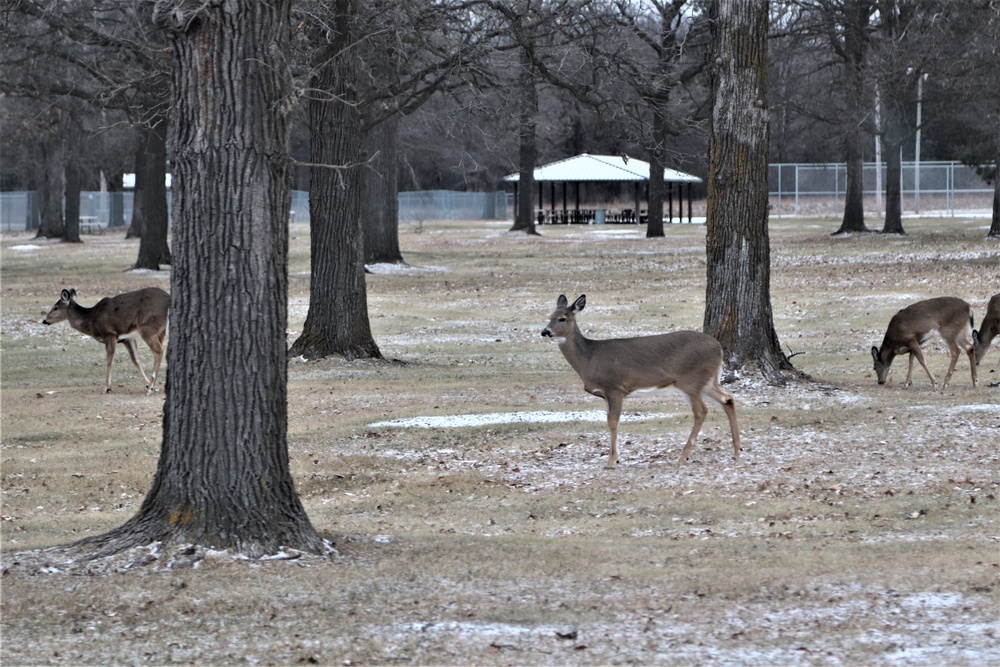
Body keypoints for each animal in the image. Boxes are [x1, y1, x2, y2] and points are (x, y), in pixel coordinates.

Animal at [43, 286, 171, 392]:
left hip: (148, 327)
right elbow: (136, 360)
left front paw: (107, 387)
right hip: (160, 331)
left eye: (55, 307)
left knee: (158, 351)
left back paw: (151, 387)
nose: (44, 320)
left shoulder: (110, 334)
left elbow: (109, 360)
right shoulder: (127, 339)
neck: (91, 320)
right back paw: (152, 385)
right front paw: (146, 384)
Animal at [540, 294, 744, 468]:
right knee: (728, 399)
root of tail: (719, 348)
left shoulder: (615, 387)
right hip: (706, 382)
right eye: (549, 316)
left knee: (701, 411)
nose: (544, 331)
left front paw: (611, 461)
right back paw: (736, 451)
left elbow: (612, 422)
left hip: (691, 381)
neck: (589, 358)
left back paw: (683, 456)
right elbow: (610, 421)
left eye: (562, 318)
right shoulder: (605, 394)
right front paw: (615, 458)